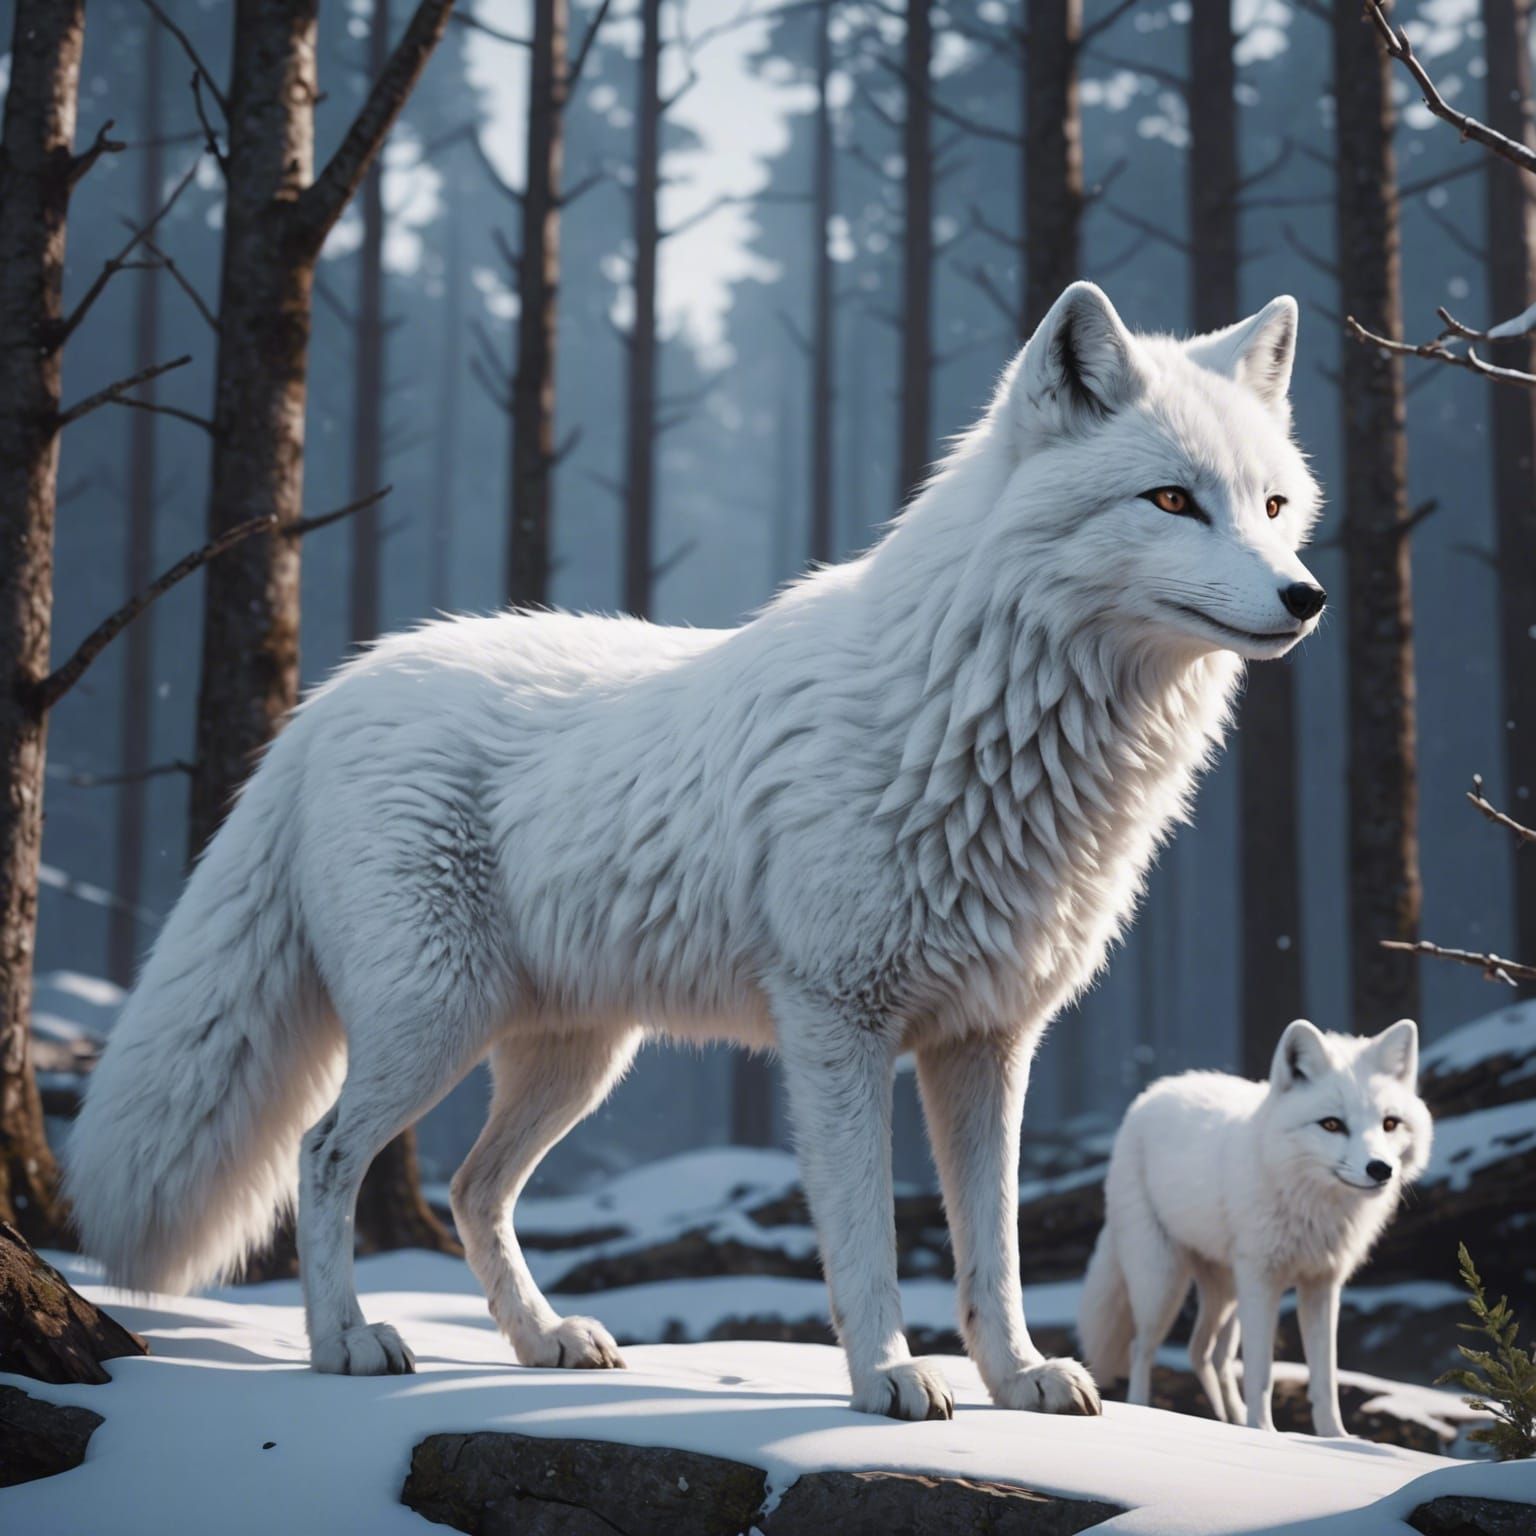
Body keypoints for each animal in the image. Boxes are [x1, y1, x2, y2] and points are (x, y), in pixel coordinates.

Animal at [68, 281, 1326, 1422]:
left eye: (1272, 504)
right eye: (1173, 499)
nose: (1306, 596)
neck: (985, 724)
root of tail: (328, 698)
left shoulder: (987, 1043)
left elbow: (995, 1249)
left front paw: (1019, 1380)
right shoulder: (837, 1025)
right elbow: (867, 1235)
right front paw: (887, 1379)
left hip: (576, 1059)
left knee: (475, 1190)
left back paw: (542, 1341)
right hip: (435, 1026)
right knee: (324, 1156)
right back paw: (346, 1344)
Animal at [1077, 1019, 1433, 1437]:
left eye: (1390, 1123)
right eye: (1332, 1124)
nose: (1380, 1168)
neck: (1309, 1203)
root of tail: (1152, 1092)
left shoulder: (1322, 1286)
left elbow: (1325, 1379)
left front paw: (1334, 1439)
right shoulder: (1263, 1282)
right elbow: (1262, 1373)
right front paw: (1265, 1433)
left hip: (1227, 1292)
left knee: (1205, 1353)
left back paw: (1232, 1420)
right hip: (1163, 1286)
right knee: (1143, 1348)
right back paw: (1146, 1409)